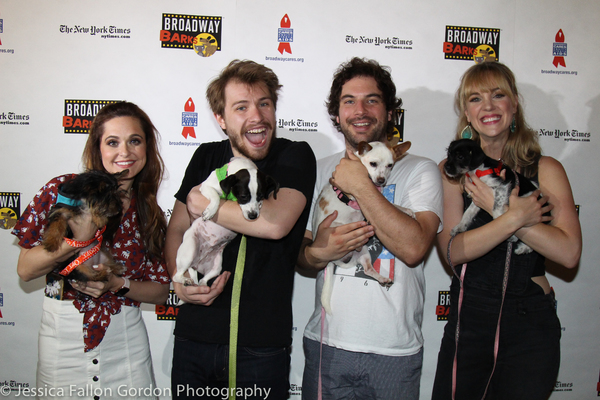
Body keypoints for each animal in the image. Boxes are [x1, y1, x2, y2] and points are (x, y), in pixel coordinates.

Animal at [171, 156, 278, 288]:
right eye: (243, 196)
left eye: (261, 196)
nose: (253, 216)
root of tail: (196, 264)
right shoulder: (205, 187)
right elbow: (216, 197)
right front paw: (210, 211)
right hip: (190, 250)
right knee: (176, 276)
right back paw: (185, 280)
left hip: (217, 266)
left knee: (203, 280)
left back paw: (203, 285)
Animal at [314, 142, 418, 314]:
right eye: (373, 164)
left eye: (390, 165)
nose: (381, 180)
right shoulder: (355, 197)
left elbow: (389, 204)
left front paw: (406, 210)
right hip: (336, 227)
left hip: (364, 253)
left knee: (368, 269)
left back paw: (382, 278)